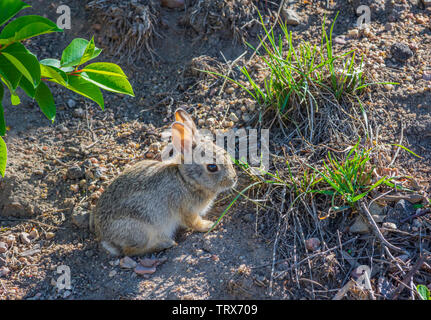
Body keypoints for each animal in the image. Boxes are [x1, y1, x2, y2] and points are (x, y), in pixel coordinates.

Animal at [90, 109, 238, 256]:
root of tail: (105, 237)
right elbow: (194, 222)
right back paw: (164, 243)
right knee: (129, 251)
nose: (234, 179)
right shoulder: (187, 210)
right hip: (141, 230)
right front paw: (209, 225)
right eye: (212, 167)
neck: (186, 180)